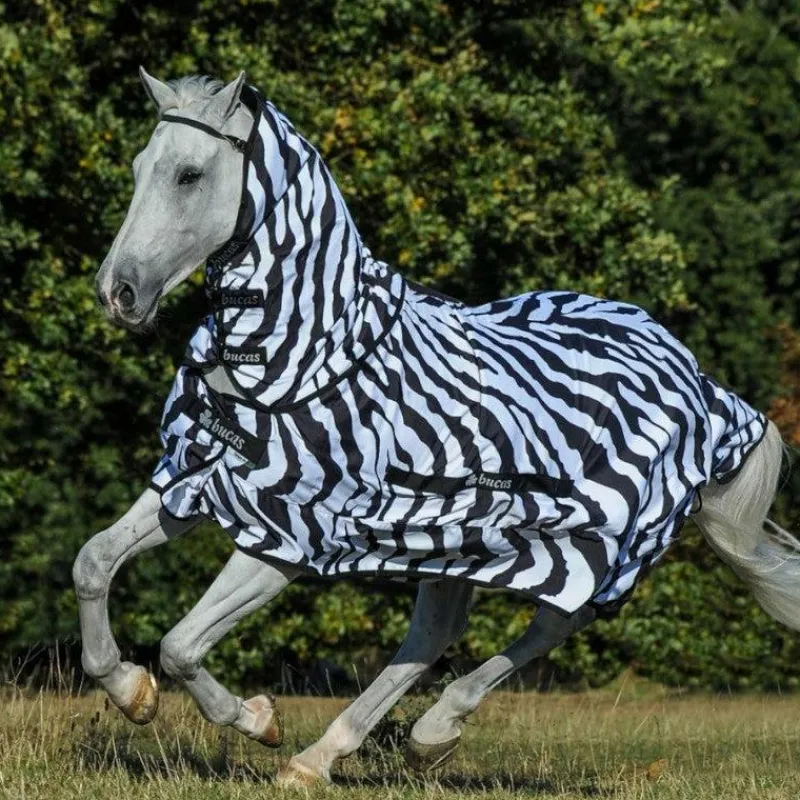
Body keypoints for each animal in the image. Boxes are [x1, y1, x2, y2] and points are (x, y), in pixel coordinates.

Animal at [74, 69, 799, 786]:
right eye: (139, 167)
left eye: (189, 175)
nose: (118, 293)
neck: (298, 349)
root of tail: (695, 376)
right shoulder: (197, 476)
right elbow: (93, 564)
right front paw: (130, 692)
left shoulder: (288, 532)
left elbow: (180, 645)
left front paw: (257, 719)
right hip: (456, 538)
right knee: (435, 635)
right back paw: (325, 757)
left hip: (591, 541)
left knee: (552, 622)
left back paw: (425, 733)